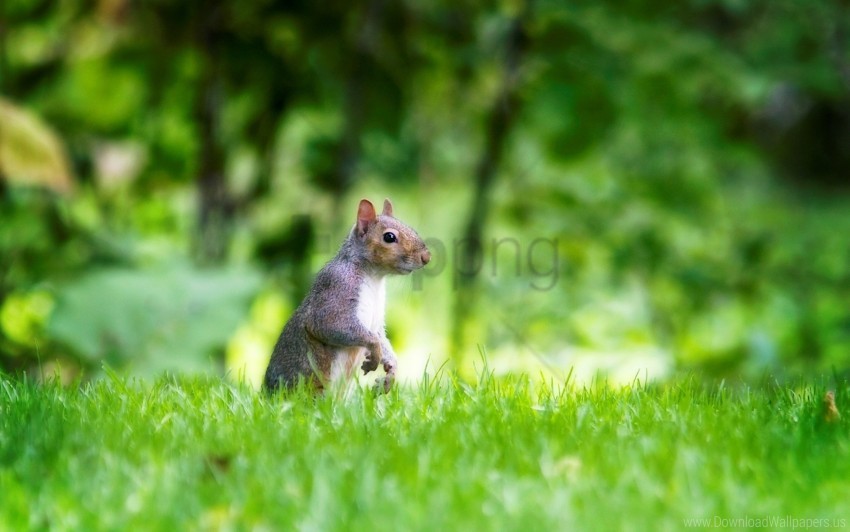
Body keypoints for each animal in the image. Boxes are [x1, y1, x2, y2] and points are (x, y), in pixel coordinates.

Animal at [262, 197, 428, 392]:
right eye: (389, 237)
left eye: (411, 229)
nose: (427, 257)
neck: (374, 277)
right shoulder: (336, 289)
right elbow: (330, 325)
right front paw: (375, 354)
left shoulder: (376, 321)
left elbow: (381, 337)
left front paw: (391, 372)